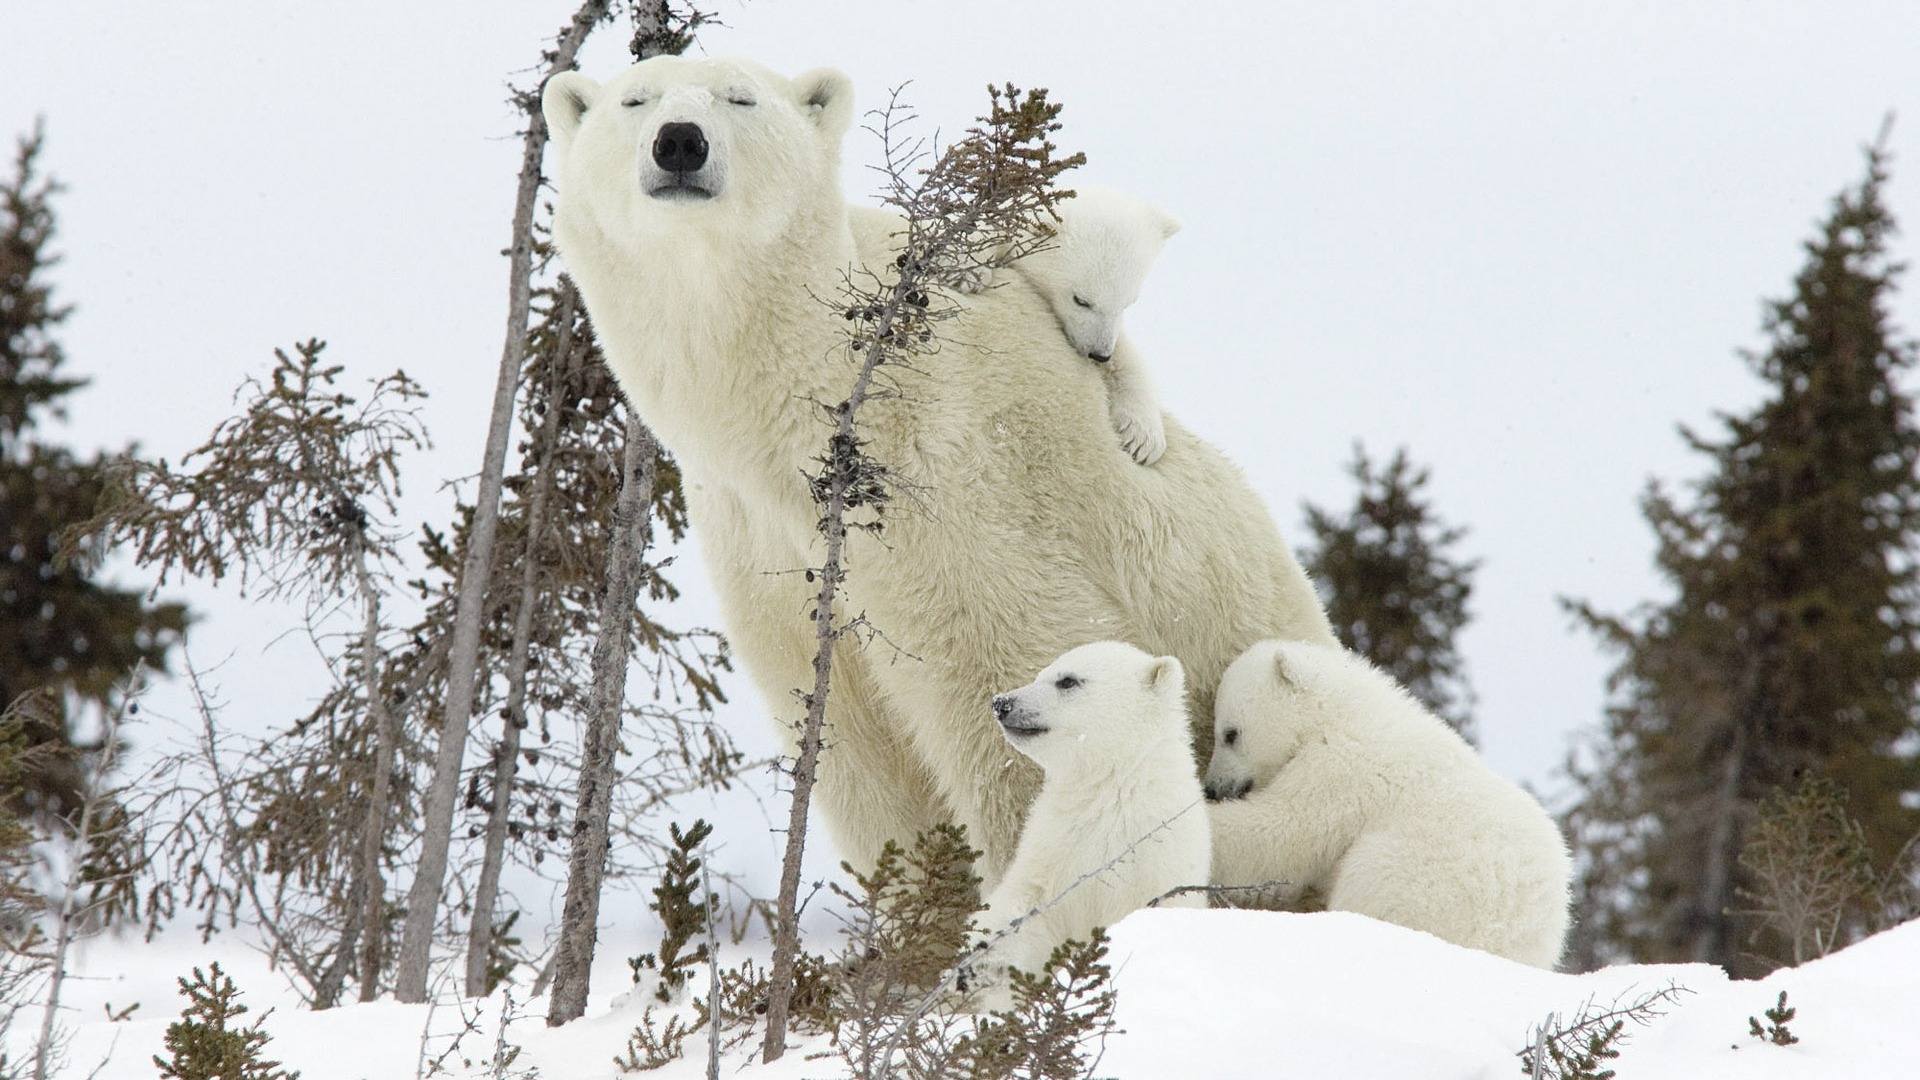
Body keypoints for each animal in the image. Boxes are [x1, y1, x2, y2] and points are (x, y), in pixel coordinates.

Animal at [541, 54, 1336, 883]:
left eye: (740, 98)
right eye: (635, 100)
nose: (680, 143)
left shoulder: (955, 491)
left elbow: (1013, 696)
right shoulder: (761, 544)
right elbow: (859, 756)